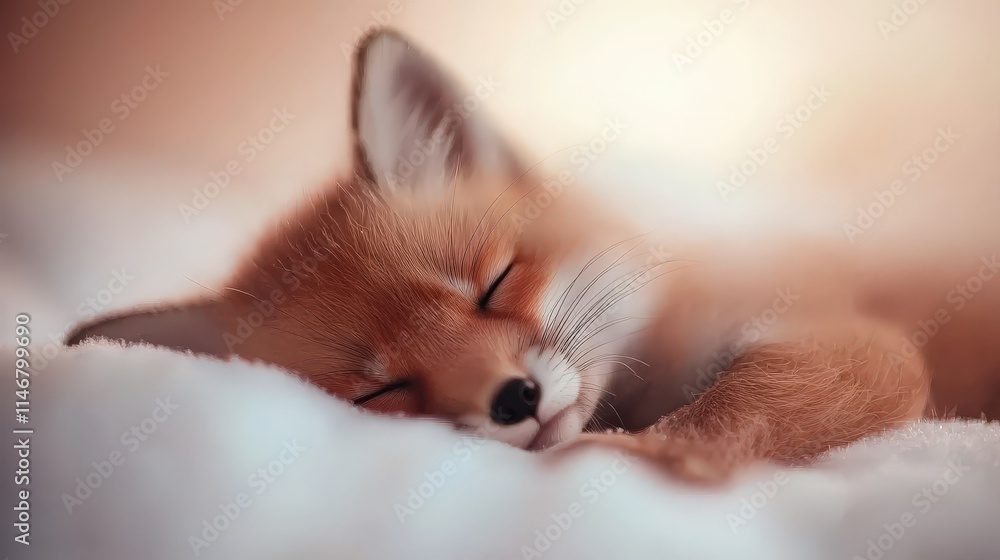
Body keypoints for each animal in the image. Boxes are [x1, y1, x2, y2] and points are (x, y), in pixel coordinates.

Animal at [69, 29, 1000, 483]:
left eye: (494, 284)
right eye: (380, 392)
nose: (512, 397)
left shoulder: (851, 343)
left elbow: (733, 412)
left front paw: (656, 455)